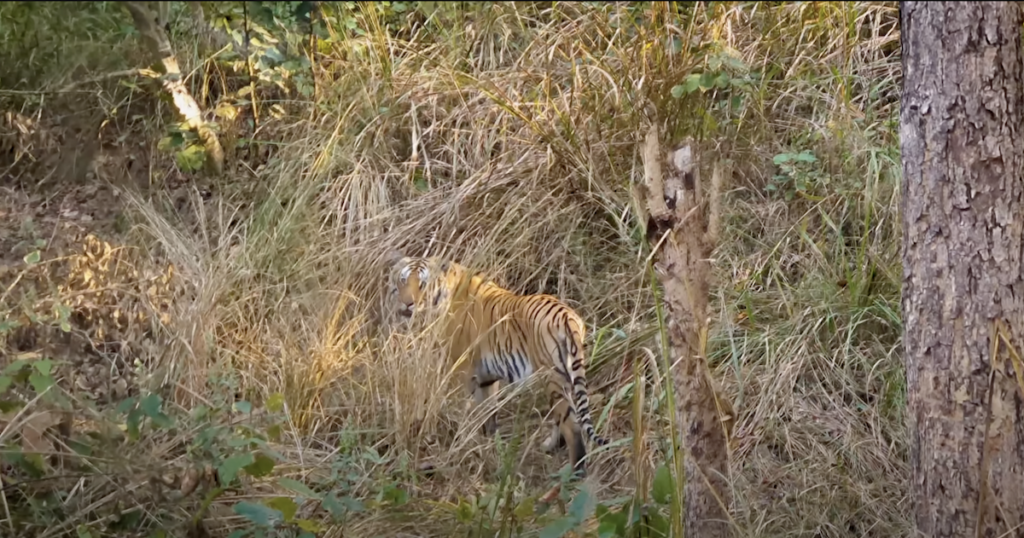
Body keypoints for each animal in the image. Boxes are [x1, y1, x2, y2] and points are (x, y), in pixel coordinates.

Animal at [386, 250, 609, 475]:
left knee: (571, 425)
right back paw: (551, 447)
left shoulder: (460, 368)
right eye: (403, 281)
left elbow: (463, 407)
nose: (407, 303)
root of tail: (567, 316)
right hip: (566, 375)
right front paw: (489, 441)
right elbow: (488, 410)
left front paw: (462, 439)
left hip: (552, 377)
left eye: (423, 284)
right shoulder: (486, 375)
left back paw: (575, 472)